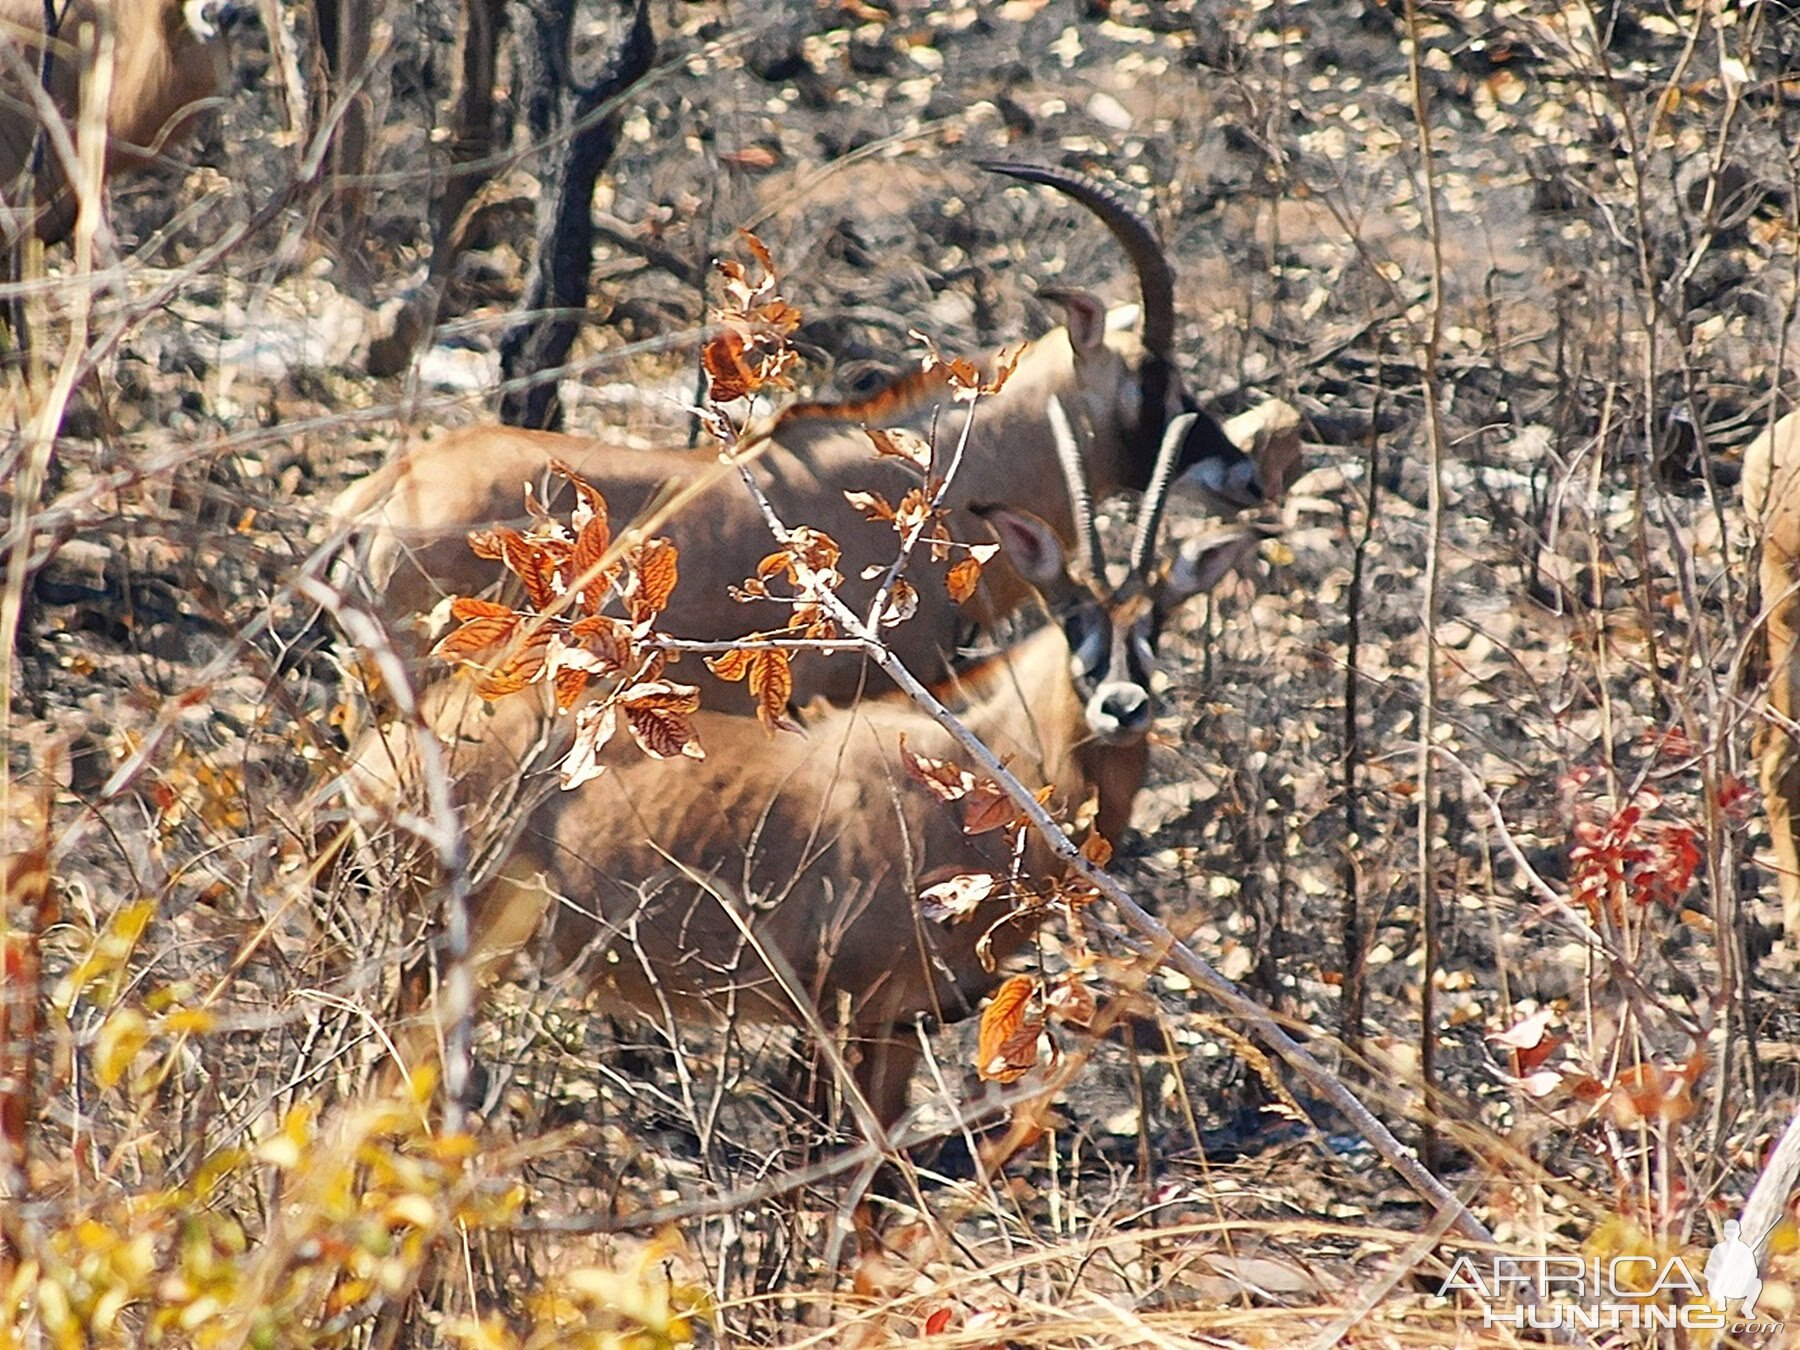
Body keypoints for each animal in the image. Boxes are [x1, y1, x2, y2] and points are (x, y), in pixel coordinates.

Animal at [347, 396, 1281, 1137]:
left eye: (1158, 617)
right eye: (1073, 612)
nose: (1121, 705)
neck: (981, 762)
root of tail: (381, 757)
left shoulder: (901, 1028)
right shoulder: (852, 1016)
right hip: (437, 952)